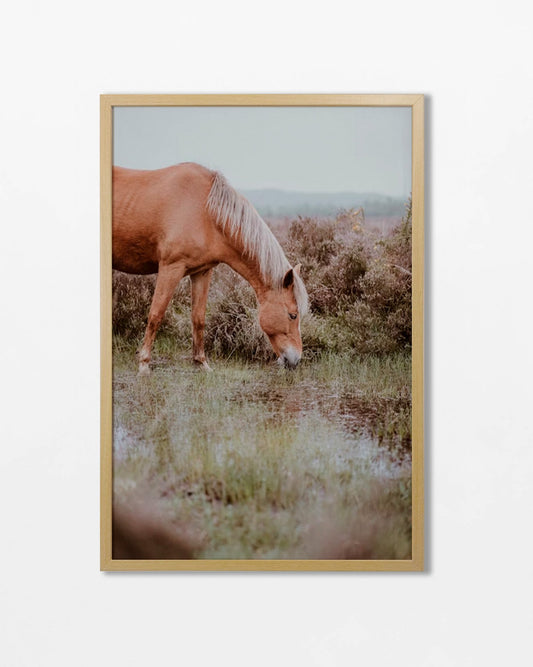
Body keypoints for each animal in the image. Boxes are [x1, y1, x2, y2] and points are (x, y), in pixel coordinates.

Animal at [112, 162, 308, 374]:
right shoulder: (170, 268)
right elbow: (155, 315)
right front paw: (144, 364)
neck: (206, 212)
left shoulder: (202, 272)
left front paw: (201, 363)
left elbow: (198, 319)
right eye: (293, 315)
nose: (295, 360)